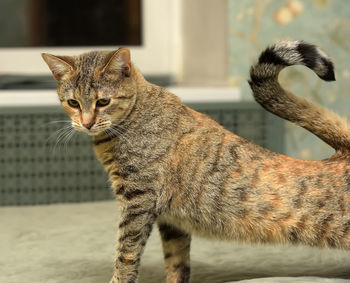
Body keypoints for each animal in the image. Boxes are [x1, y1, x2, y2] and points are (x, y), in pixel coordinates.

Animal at [41, 40, 350, 283]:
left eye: (103, 101)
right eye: (73, 102)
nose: (86, 123)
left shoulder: (137, 201)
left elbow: (125, 254)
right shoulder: (171, 221)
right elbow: (177, 263)